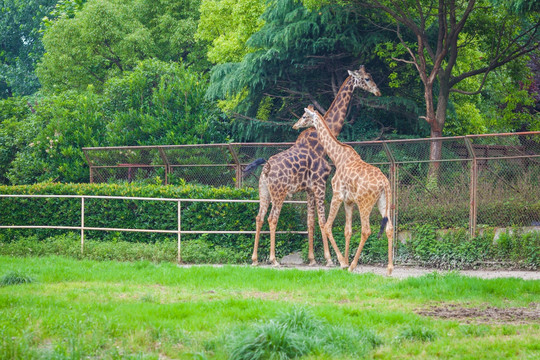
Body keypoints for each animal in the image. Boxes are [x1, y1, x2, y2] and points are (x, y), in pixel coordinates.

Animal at [248, 66, 380, 266]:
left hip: (264, 191)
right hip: (279, 192)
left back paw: (255, 259)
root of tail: (266, 168)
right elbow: (322, 221)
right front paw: (329, 259)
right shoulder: (320, 184)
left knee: (259, 217)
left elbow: (311, 222)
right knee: (272, 219)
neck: (321, 144)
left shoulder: (309, 189)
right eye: (366, 78)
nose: (377, 91)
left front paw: (311, 259)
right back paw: (274, 259)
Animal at [294, 107, 394, 276]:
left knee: (366, 230)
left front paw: (342, 262)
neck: (337, 157)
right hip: (383, 202)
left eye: (304, 116)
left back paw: (354, 266)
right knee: (389, 228)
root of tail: (385, 183)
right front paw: (345, 261)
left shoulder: (337, 195)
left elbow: (327, 226)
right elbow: (348, 231)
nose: (295, 125)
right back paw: (389, 268)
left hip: (365, 203)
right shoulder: (349, 201)